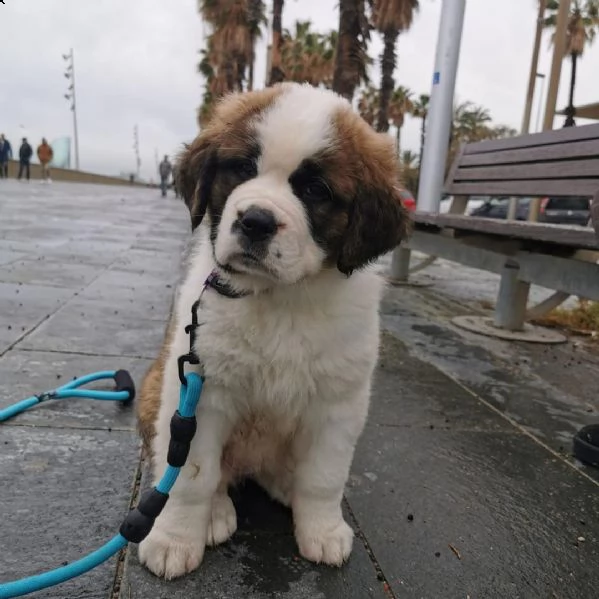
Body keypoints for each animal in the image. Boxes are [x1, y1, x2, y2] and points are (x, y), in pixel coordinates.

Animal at [137, 82, 408, 580]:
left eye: (316, 190)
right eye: (242, 168)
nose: (256, 221)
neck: (280, 298)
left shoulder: (339, 402)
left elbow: (324, 476)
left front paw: (322, 529)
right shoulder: (202, 392)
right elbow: (191, 476)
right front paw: (173, 539)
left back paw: (285, 483)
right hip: (156, 389)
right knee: (187, 465)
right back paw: (216, 512)